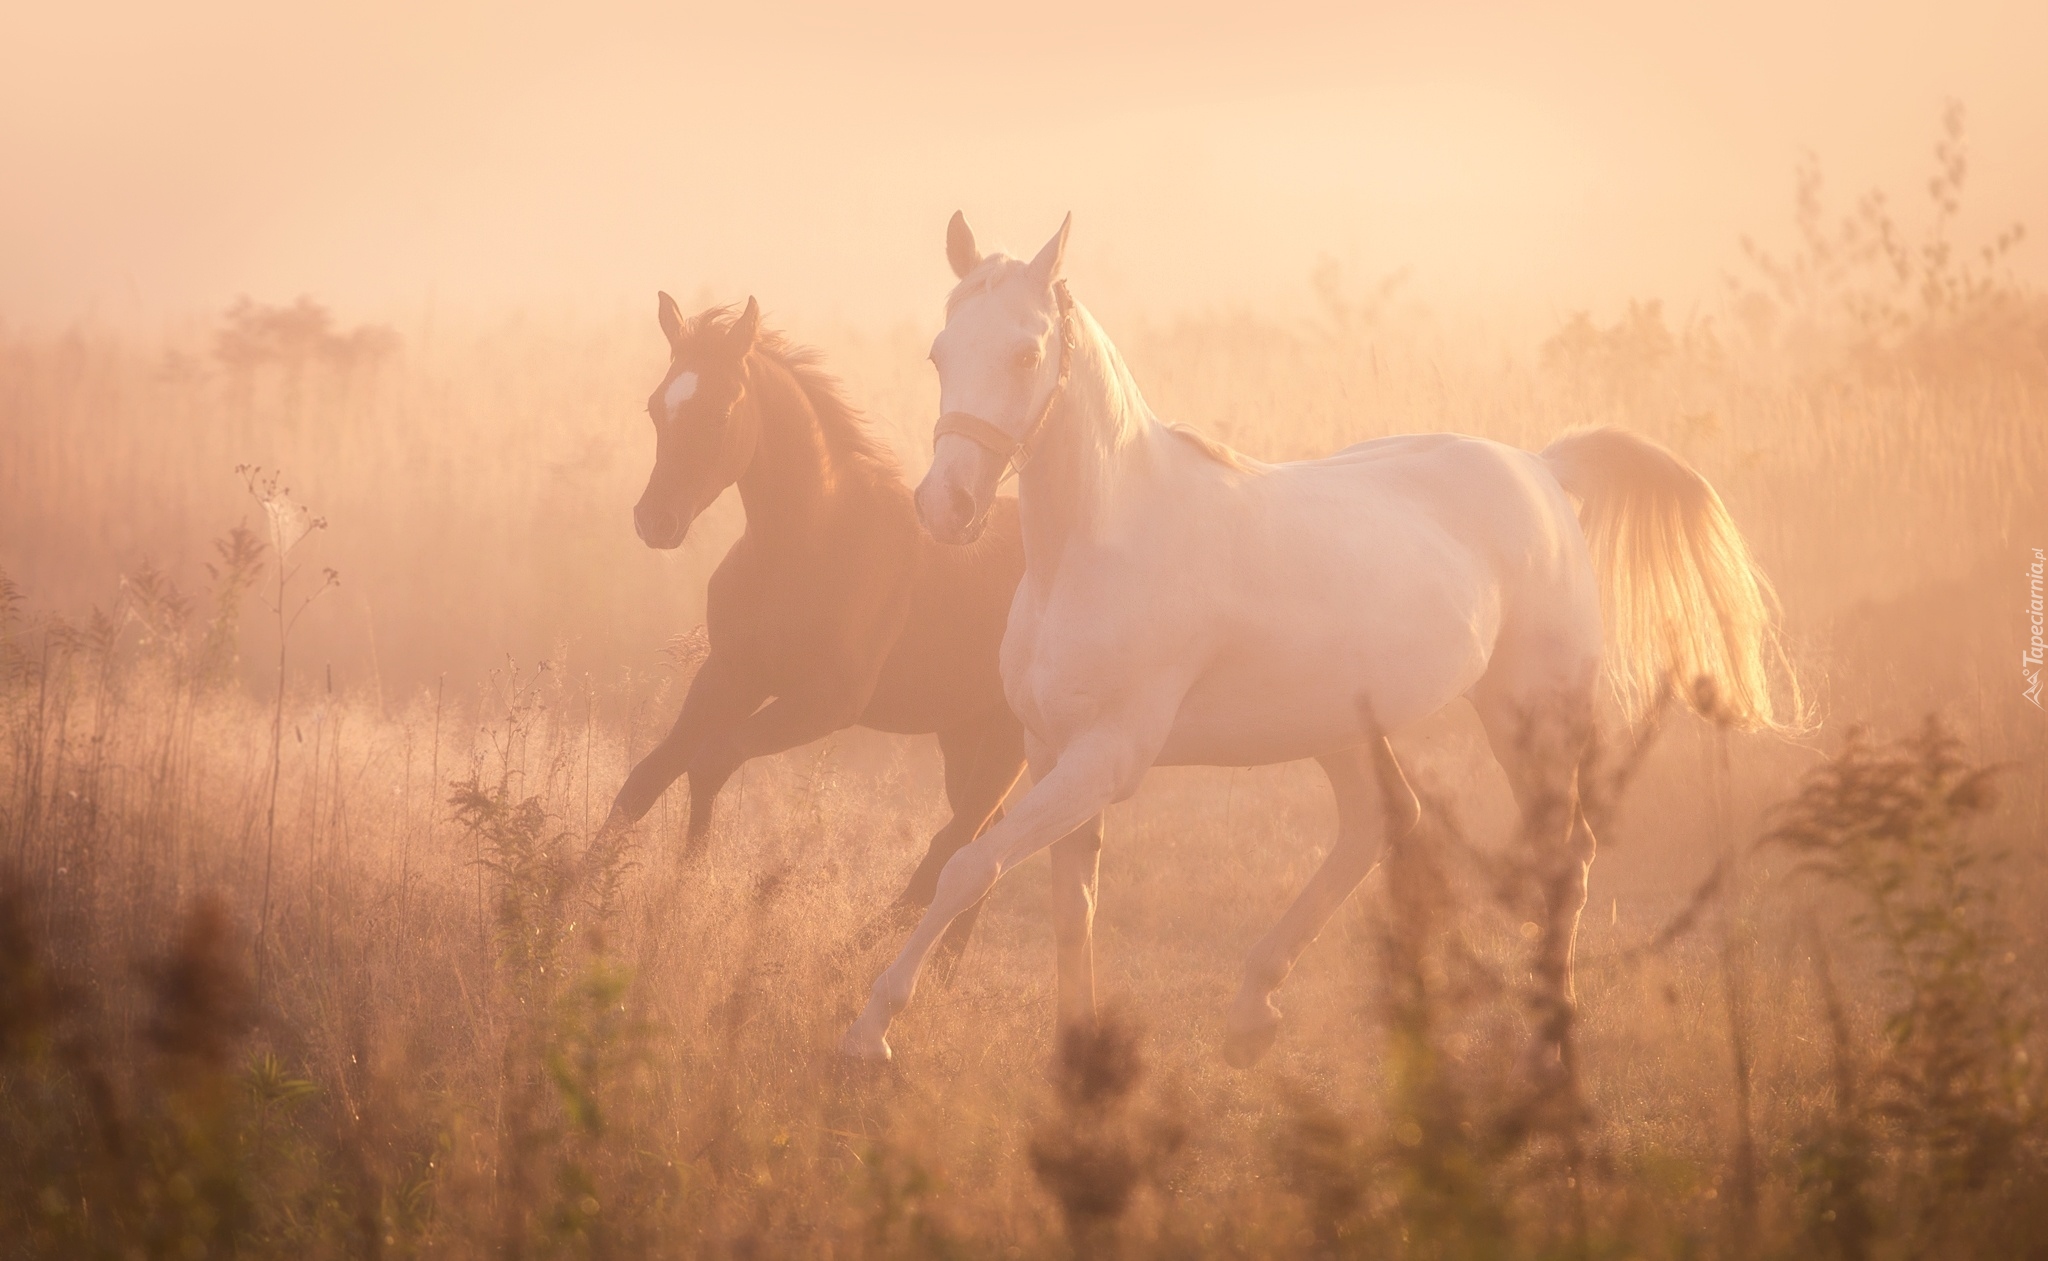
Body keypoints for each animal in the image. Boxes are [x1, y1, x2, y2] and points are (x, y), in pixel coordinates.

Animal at [606, 292, 1105, 953]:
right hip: (962, 729)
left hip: (1007, 735)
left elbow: (710, 759)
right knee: (978, 848)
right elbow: (646, 777)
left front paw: (679, 901)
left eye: (721, 411)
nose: (655, 520)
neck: (808, 542)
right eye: (656, 407)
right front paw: (567, 897)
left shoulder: (825, 704)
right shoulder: (729, 675)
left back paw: (854, 958)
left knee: (959, 847)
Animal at [839, 213, 1785, 1064]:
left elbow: (969, 867)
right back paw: (1254, 1007)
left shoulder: (1105, 758)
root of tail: (1544, 470)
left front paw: (870, 1031)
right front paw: (1076, 1054)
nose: (946, 506)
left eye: (1026, 354)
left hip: (1530, 716)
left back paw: (1547, 1045)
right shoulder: (1050, 752)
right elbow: (1074, 904)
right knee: (1380, 820)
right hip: (1341, 728)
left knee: (1566, 857)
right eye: (939, 354)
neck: (1100, 542)